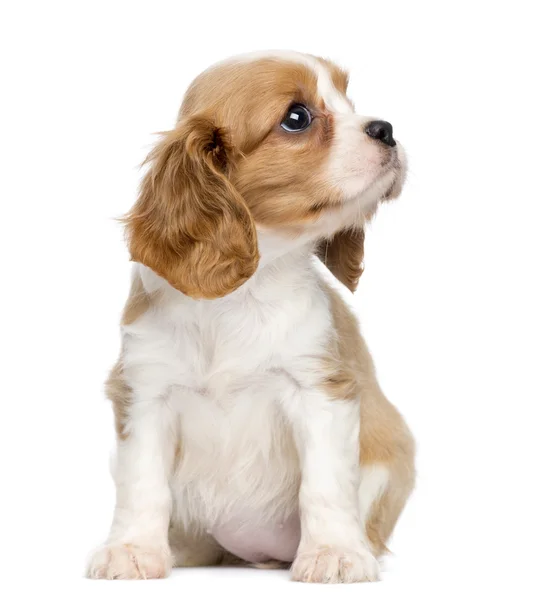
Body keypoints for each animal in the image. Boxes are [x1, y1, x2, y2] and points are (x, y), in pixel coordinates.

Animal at [87, 51, 418, 584]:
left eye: (348, 98)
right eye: (296, 117)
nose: (385, 128)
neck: (241, 293)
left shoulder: (319, 388)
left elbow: (325, 485)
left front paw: (333, 552)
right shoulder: (145, 390)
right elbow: (142, 484)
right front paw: (133, 549)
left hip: (392, 452)